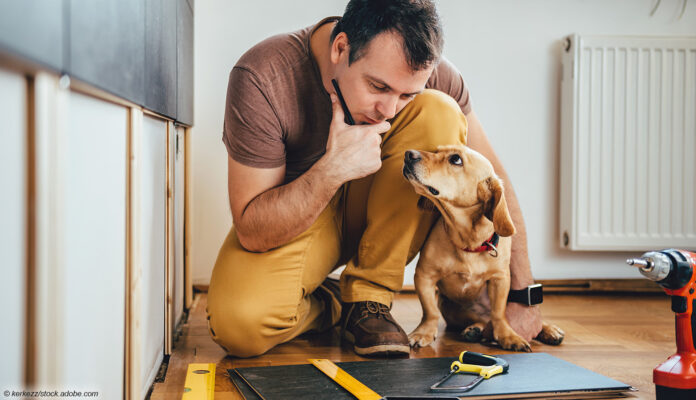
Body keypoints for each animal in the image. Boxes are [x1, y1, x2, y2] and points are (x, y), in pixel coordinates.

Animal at [402, 145, 564, 352]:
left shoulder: (500, 280)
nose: (409, 154)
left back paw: (550, 330)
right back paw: (475, 329)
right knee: (481, 320)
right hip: (454, 310)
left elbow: (499, 314)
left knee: (493, 317)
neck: (468, 242)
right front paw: (423, 332)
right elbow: (429, 311)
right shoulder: (424, 276)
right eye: (436, 150)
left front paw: (508, 336)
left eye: (456, 159)